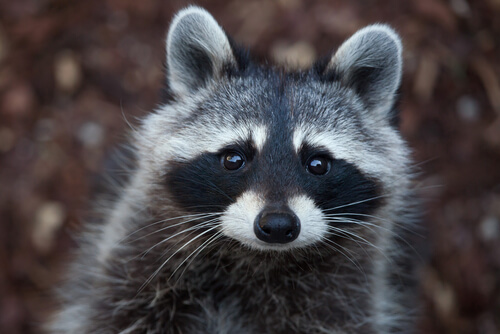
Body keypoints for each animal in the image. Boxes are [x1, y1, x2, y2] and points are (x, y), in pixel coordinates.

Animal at [49, 5, 418, 334]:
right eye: (234, 159)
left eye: (317, 164)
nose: (278, 226)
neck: (255, 259)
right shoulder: (134, 266)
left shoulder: (342, 299)